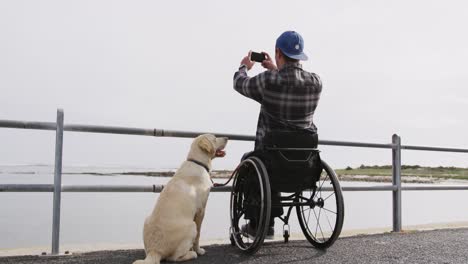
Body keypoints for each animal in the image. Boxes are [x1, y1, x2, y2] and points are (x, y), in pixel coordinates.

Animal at [133, 134, 229, 264]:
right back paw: (193, 253)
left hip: (146, 220)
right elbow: (198, 235)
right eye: (214, 138)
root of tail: (155, 250)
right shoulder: (201, 210)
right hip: (191, 226)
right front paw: (199, 250)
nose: (227, 138)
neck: (198, 162)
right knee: (174, 257)